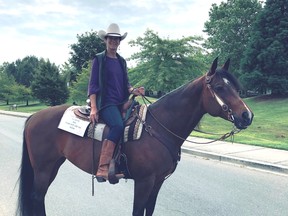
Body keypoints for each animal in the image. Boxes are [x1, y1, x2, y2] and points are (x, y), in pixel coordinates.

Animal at [16, 57, 253, 216]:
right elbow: (138, 211)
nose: (247, 115)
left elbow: (149, 210)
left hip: (53, 165)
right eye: (220, 87)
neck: (159, 127)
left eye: (236, 87)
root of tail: (34, 116)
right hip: (43, 167)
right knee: (37, 197)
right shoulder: (144, 182)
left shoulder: (157, 182)